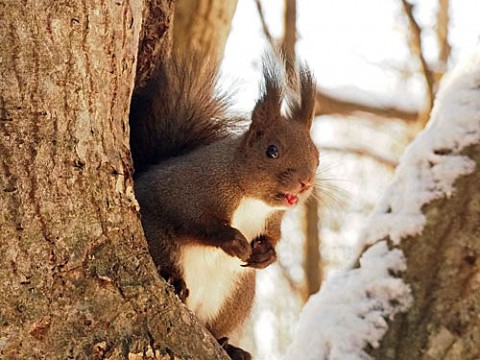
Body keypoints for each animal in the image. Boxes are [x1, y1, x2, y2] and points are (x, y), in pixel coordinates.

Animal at [129, 53, 320, 360]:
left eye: (317, 156)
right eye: (272, 150)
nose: (305, 183)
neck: (253, 201)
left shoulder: (272, 221)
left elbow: (274, 238)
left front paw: (266, 254)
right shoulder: (189, 193)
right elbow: (197, 224)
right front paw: (232, 240)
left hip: (235, 297)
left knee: (214, 329)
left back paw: (229, 346)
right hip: (158, 242)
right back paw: (175, 281)